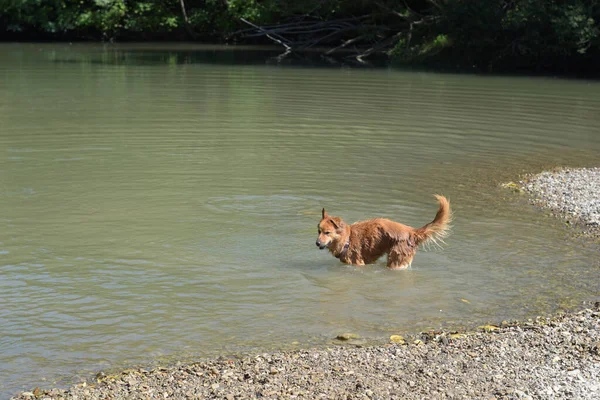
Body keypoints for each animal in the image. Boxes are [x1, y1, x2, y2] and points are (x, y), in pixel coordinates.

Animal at [318, 196, 450, 270]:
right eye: (319, 231)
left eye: (327, 232)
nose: (317, 243)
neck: (347, 239)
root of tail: (411, 231)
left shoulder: (358, 264)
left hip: (396, 260)